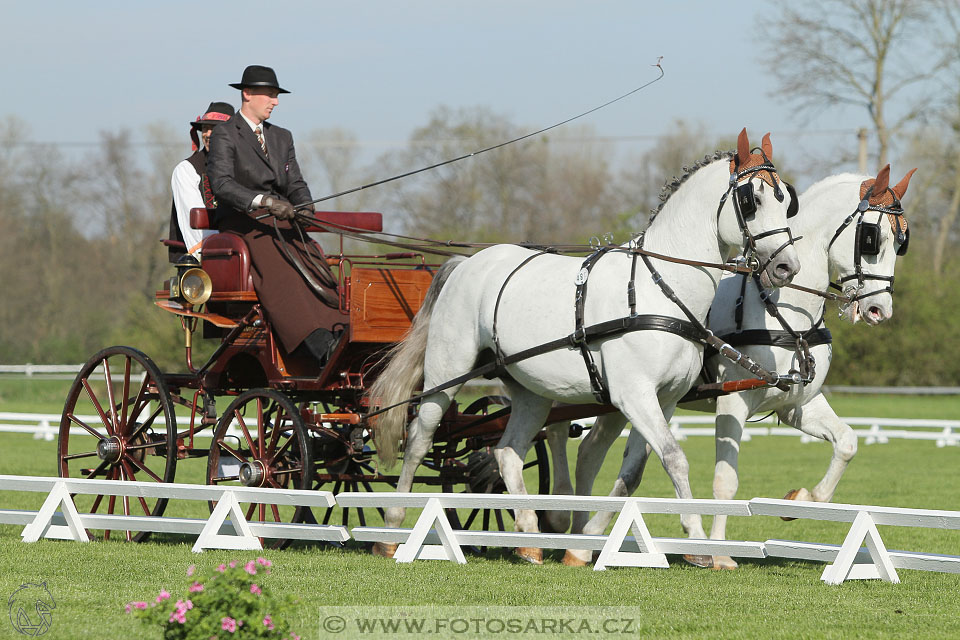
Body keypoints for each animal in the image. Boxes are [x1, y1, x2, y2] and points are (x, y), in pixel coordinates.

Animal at [368, 129, 804, 560]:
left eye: (786, 199)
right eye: (752, 200)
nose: (787, 267)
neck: (659, 288)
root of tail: (468, 264)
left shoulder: (664, 400)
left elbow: (637, 468)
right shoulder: (634, 395)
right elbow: (675, 458)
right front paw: (696, 539)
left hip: (530, 392)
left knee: (508, 452)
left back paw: (530, 535)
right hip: (446, 373)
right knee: (420, 440)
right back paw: (392, 527)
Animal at [556, 162, 916, 568]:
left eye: (901, 242)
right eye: (872, 238)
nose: (879, 310)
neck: (780, 308)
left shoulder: (796, 404)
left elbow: (847, 443)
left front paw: (802, 499)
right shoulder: (733, 403)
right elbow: (725, 481)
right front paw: (719, 553)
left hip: (619, 399)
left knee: (590, 451)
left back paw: (581, 536)